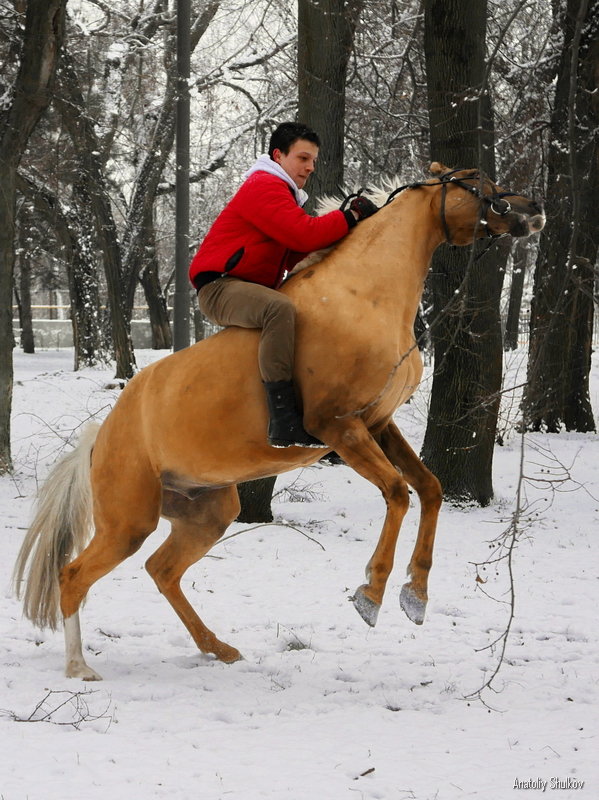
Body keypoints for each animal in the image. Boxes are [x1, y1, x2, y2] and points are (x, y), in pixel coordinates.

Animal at [14, 164, 548, 680]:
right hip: (129, 520)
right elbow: (398, 493)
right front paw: (371, 595)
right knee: (73, 576)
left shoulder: (379, 424)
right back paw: (80, 667)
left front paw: (415, 596)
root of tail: (101, 437)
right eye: (477, 181)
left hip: (206, 512)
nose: (534, 207)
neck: (364, 296)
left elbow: (430, 489)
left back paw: (219, 649)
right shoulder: (341, 428)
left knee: (161, 570)